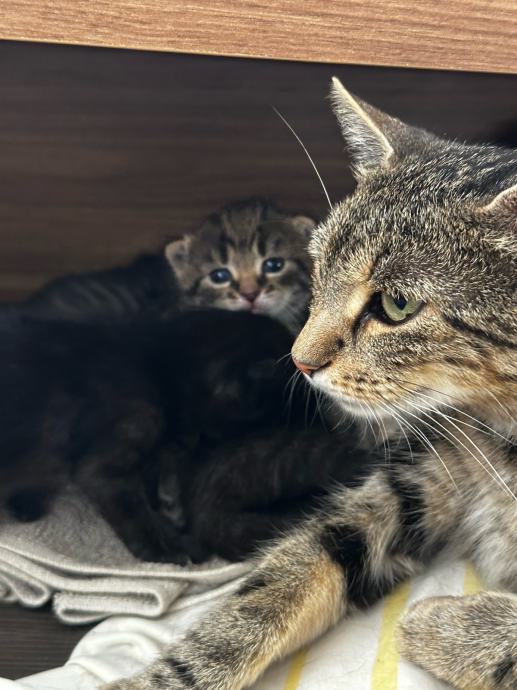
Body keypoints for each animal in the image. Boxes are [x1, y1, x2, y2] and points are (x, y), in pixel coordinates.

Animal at [104, 79, 517, 690]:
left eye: (398, 304)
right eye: (319, 269)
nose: (298, 361)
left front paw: (444, 624)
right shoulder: (416, 481)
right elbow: (287, 575)